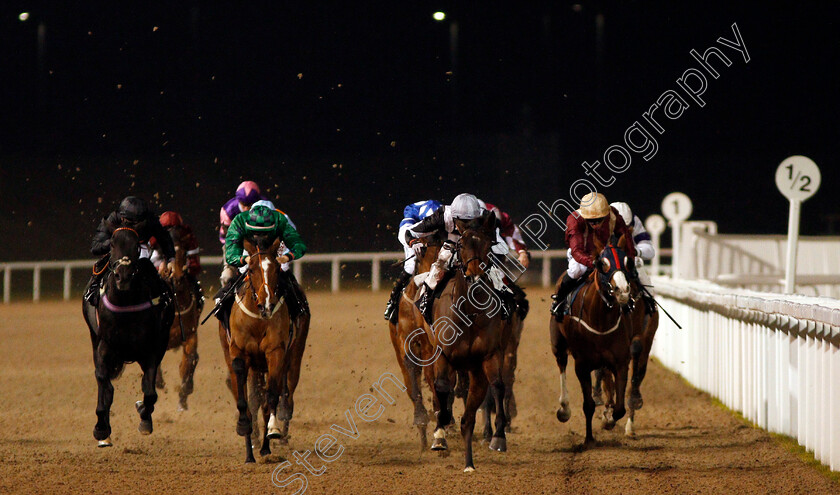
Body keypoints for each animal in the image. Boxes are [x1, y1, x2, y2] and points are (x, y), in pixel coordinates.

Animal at [82, 227, 174, 448]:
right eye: (112, 244)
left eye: (136, 246)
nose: (122, 277)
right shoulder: (104, 345)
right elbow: (104, 384)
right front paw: (101, 429)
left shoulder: (151, 349)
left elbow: (149, 392)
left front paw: (144, 417)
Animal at [223, 236, 292, 464]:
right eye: (251, 268)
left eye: (277, 268)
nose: (267, 304)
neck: (258, 321)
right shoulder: (238, 352)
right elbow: (244, 400)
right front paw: (244, 430)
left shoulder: (275, 352)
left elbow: (270, 398)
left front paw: (272, 432)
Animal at [426, 211, 506, 474]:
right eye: (461, 245)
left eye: (488, 244)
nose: (475, 277)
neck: (469, 312)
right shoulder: (443, 355)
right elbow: (442, 388)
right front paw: (440, 431)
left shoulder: (490, 355)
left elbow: (498, 385)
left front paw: (498, 437)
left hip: (476, 374)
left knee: (468, 419)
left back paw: (469, 463)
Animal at [548, 242, 632, 448]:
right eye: (602, 263)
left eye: (627, 261)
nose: (622, 290)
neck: (601, 319)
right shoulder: (582, 365)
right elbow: (588, 405)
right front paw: (589, 439)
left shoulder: (621, 362)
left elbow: (620, 408)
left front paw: (608, 420)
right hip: (558, 345)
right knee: (562, 365)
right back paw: (564, 409)